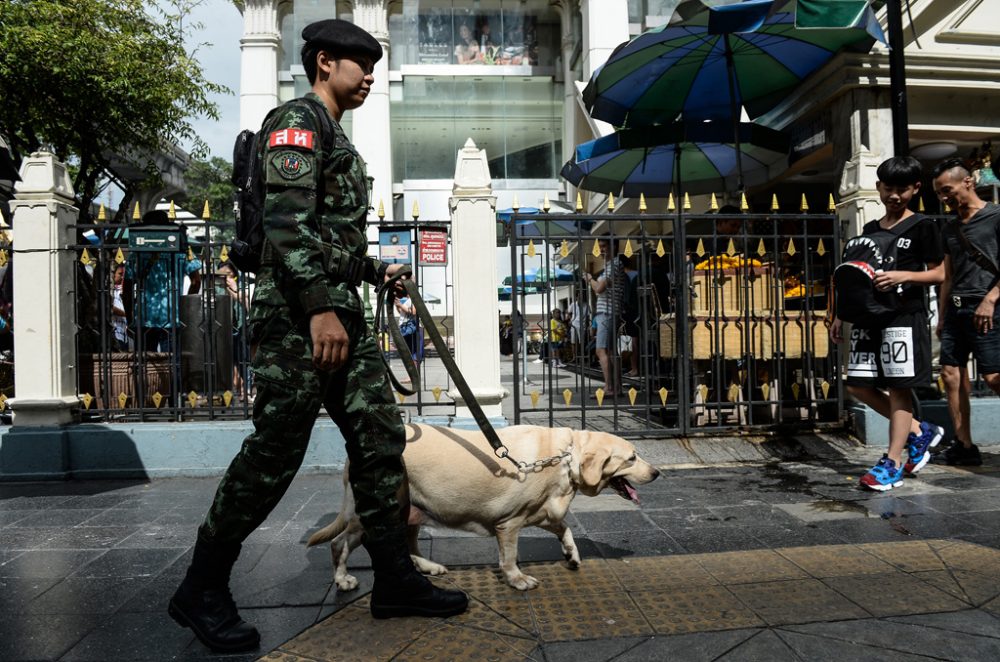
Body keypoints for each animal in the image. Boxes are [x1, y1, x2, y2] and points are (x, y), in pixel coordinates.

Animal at [308, 428, 660, 592]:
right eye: (632, 458)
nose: (657, 473)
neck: (564, 456)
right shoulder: (509, 523)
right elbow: (509, 557)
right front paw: (517, 580)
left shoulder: (542, 512)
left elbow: (565, 528)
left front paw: (571, 554)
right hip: (371, 514)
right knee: (339, 543)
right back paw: (342, 579)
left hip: (411, 510)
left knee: (407, 544)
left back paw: (428, 567)